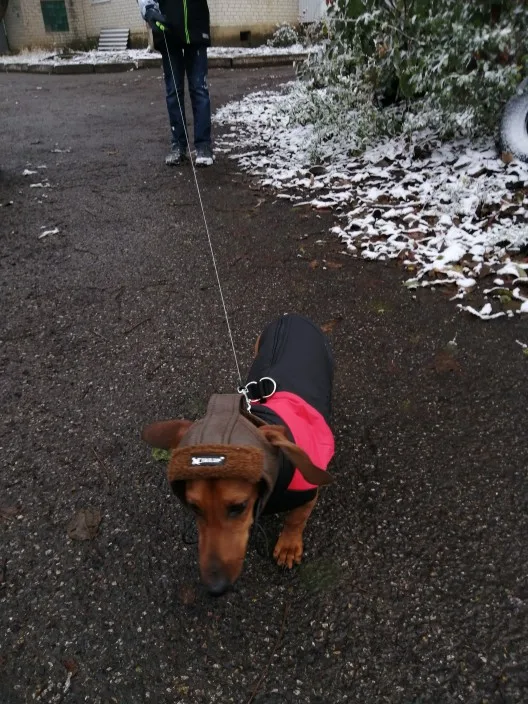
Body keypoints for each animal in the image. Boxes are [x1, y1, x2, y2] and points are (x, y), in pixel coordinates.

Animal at [142, 314, 335, 596]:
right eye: (194, 507)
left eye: (238, 507)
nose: (215, 588)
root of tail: (291, 317)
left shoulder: (308, 494)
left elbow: (296, 519)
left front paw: (288, 546)